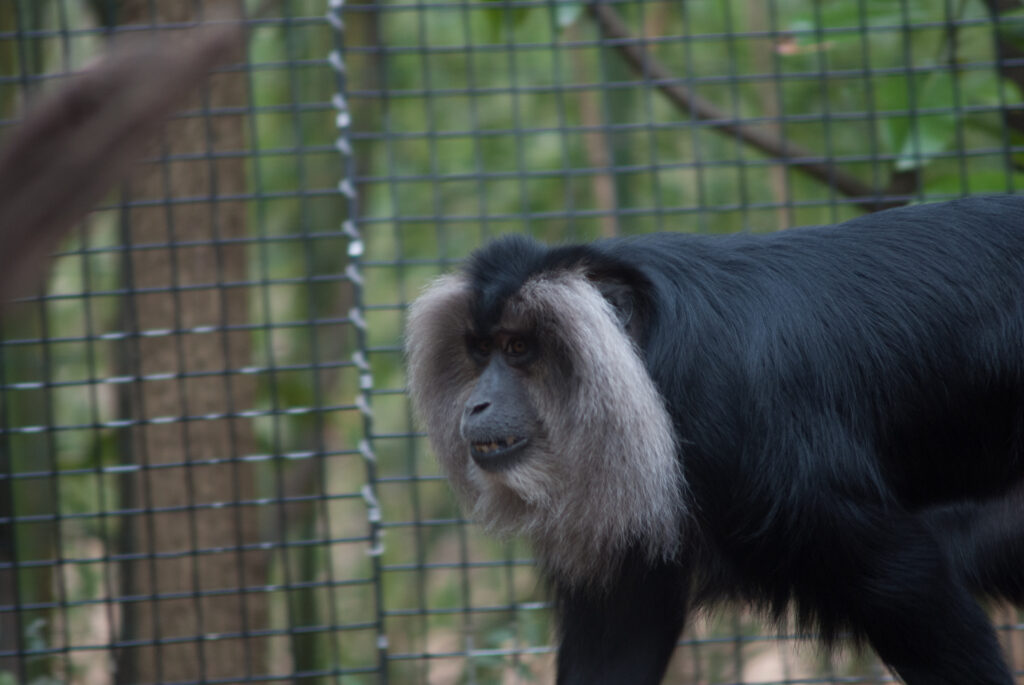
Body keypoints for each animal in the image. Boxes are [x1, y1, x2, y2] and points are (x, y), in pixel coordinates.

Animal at [404, 195, 1024, 685]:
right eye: (480, 352)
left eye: (517, 349)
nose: (476, 404)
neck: (650, 371)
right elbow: (621, 635)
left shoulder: (740, 424)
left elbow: (906, 580)